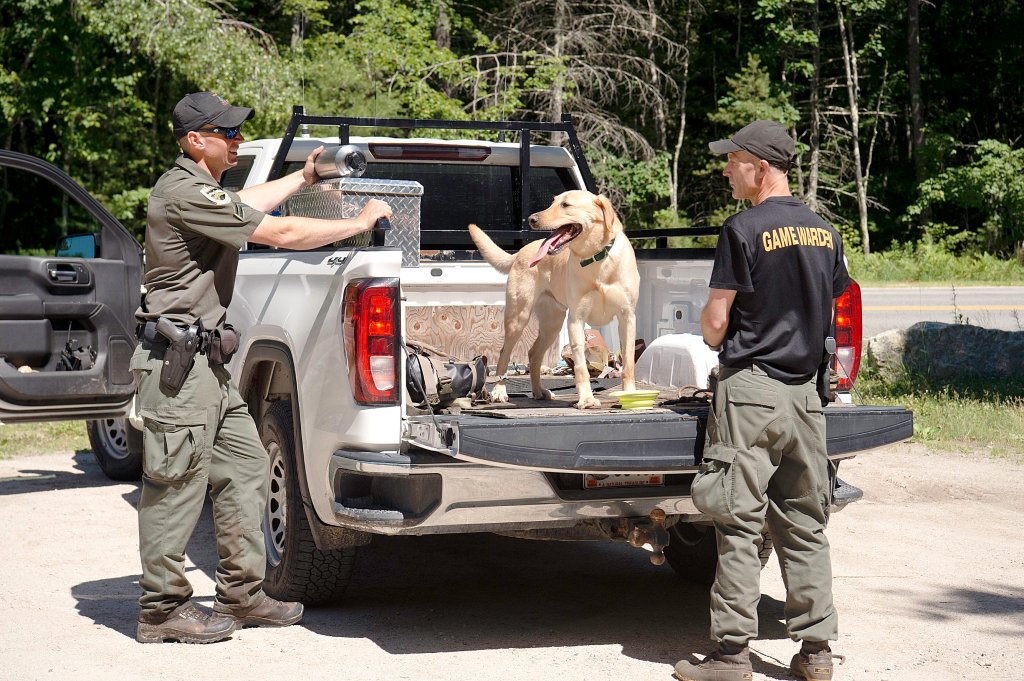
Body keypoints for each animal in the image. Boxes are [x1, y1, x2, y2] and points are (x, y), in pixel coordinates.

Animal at [468, 188, 638, 405]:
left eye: (566, 204)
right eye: (553, 202)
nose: (531, 219)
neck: (596, 259)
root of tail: (520, 252)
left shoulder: (627, 316)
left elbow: (629, 362)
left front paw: (631, 395)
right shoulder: (576, 319)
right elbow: (581, 366)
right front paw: (586, 399)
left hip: (552, 324)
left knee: (533, 354)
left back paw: (539, 391)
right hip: (518, 318)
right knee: (504, 353)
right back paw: (499, 390)